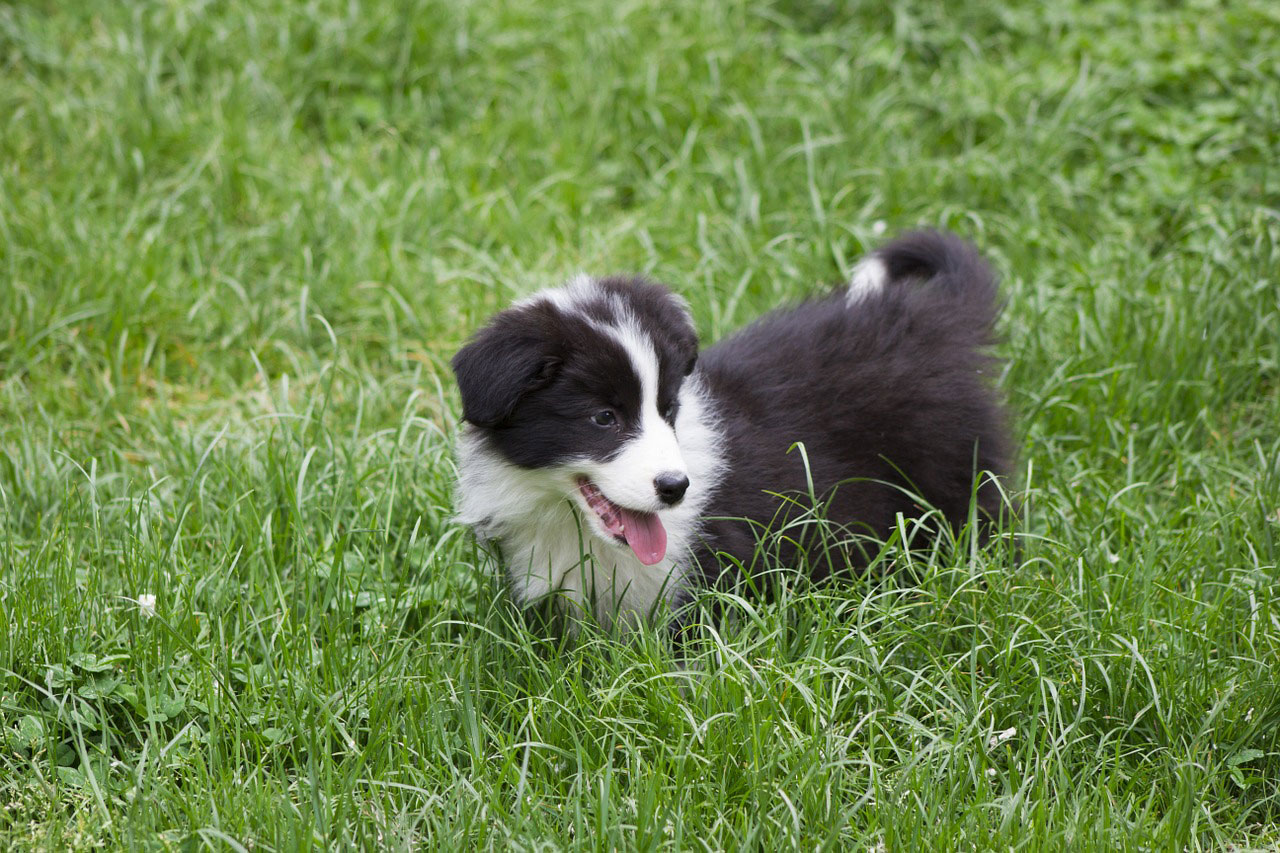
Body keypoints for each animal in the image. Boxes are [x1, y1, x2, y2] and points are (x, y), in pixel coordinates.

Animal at [450, 229, 1008, 627]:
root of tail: (930, 316)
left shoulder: (717, 579)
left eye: (669, 408)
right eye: (603, 418)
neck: (575, 528)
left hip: (956, 477)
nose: (676, 488)